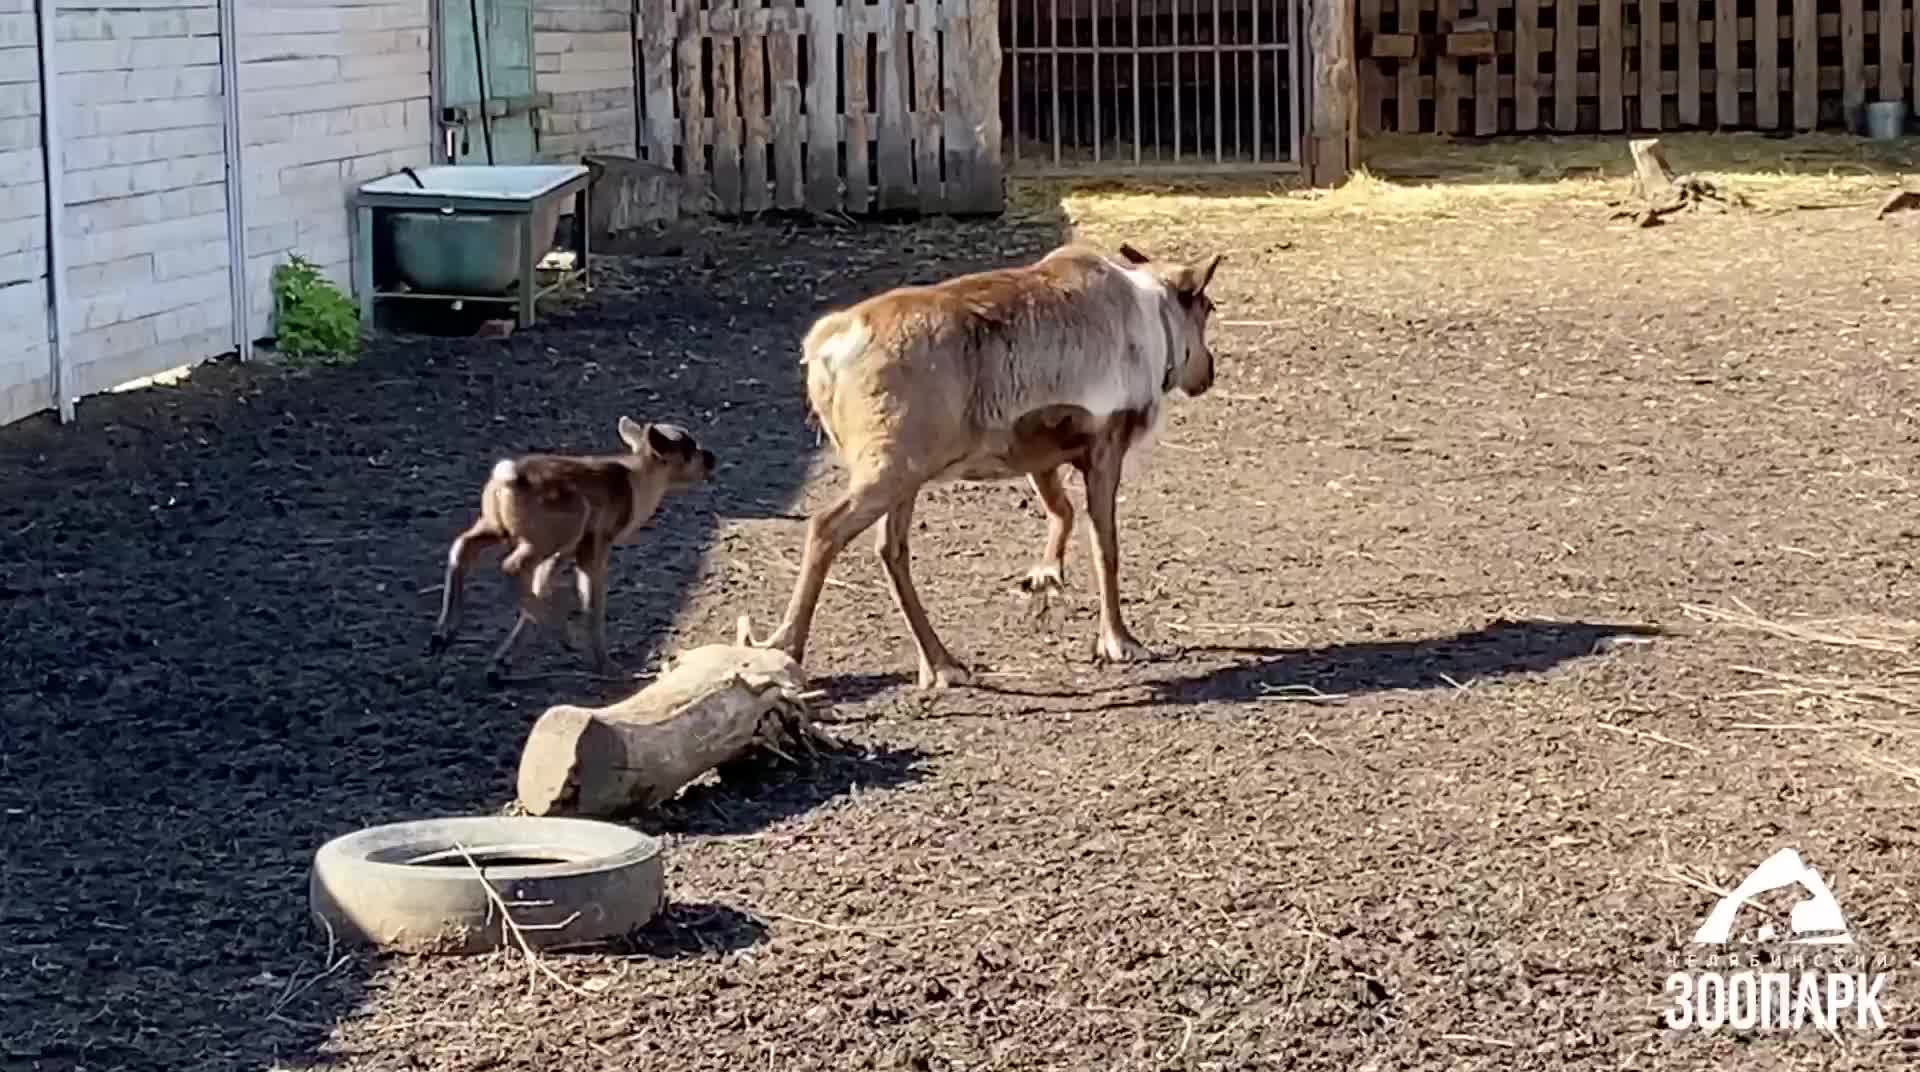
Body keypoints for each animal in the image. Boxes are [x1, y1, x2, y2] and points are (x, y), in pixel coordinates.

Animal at [428, 420, 714, 680]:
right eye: (688, 449)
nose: (711, 458)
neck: (640, 485)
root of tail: (508, 477)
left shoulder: (568, 550)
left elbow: (542, 584)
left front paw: (500, 662)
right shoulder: (596, 541)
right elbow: (591, 600)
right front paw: (607, 665)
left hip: (497, 523)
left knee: (463, 546)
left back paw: (443, 634)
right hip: (560, 528)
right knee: (511, 566)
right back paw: (564, 634)